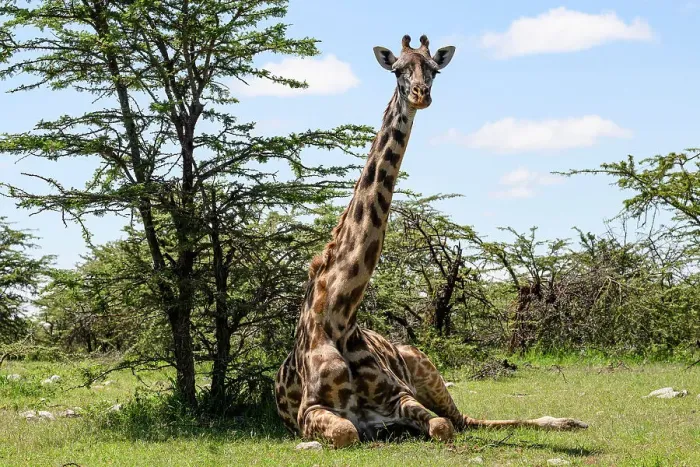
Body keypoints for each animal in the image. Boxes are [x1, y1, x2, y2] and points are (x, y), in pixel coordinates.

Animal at [275, 34, 588, 448]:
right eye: (396, 70)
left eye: (434, 70)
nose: (421, 94)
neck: (338, 315)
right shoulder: (309, 409)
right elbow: (346, 431)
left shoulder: (400, 395)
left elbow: (441, 426)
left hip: (425, 365)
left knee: (464, 419)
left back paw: (570, 421)